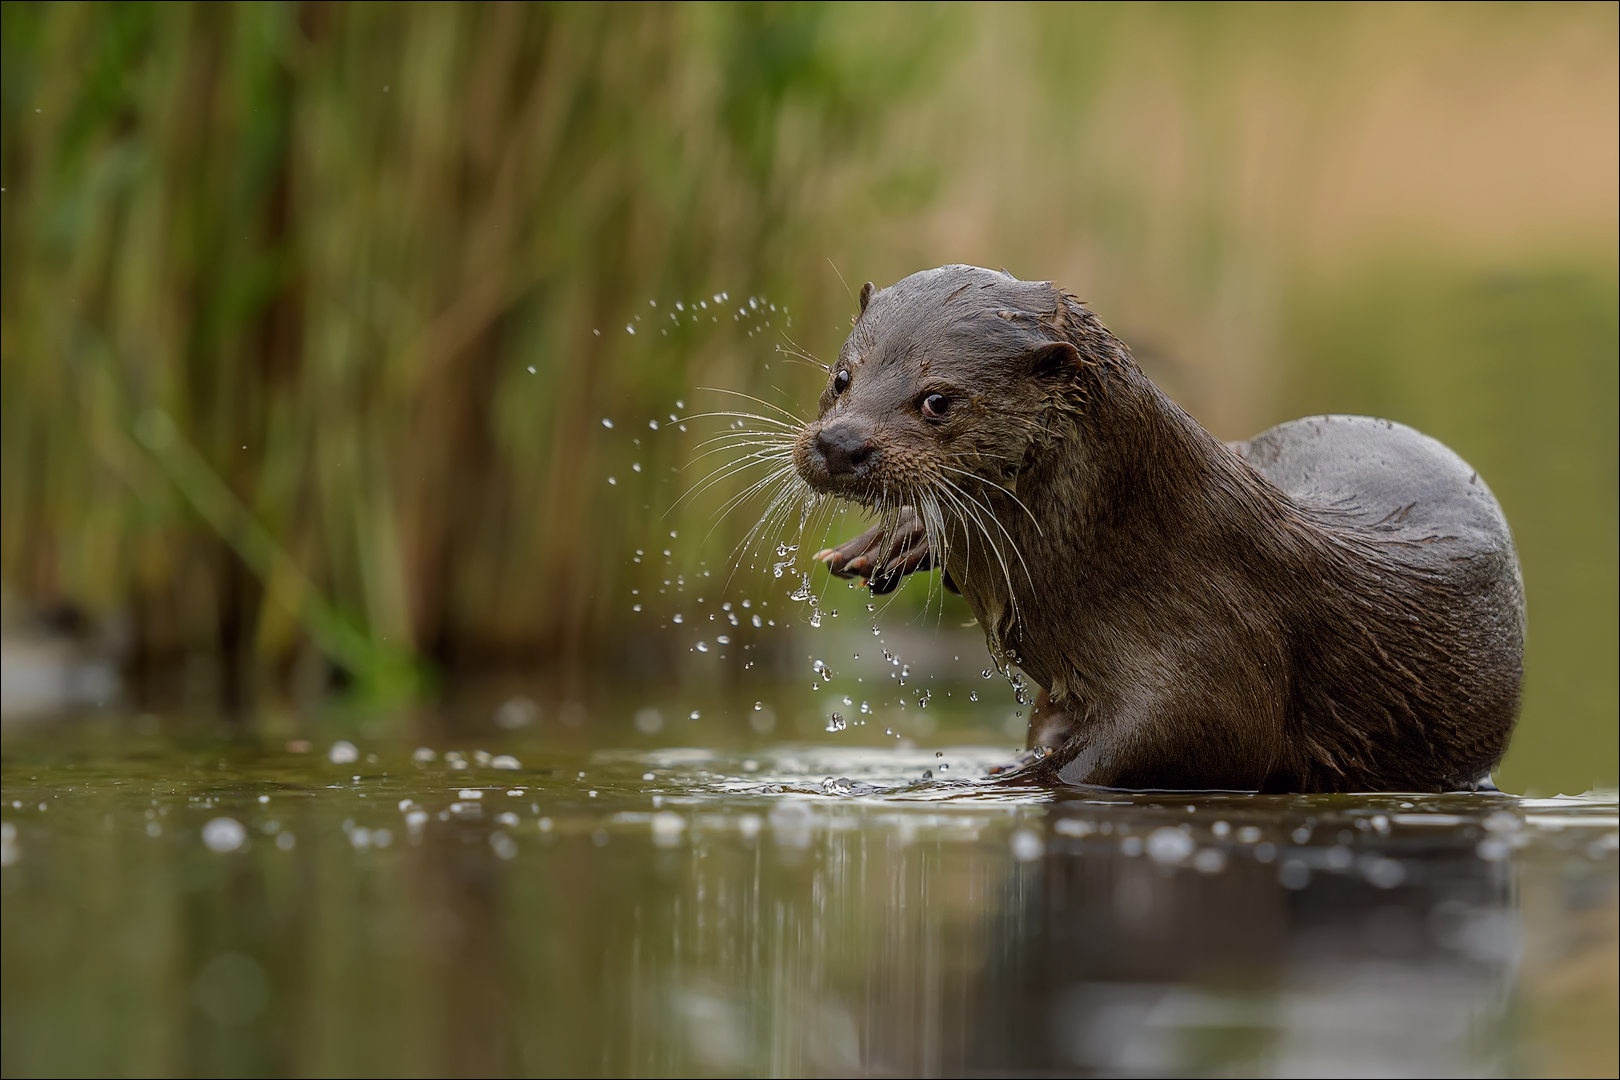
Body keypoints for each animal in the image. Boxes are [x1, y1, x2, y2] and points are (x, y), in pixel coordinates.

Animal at [790, 265, 1522, 790]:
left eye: (937, 399)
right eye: (842, 377)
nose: (839, 443)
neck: (1126, 557)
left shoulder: (1209, 679)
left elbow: (1154, 754)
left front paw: (1000, 781)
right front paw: (894, 540)